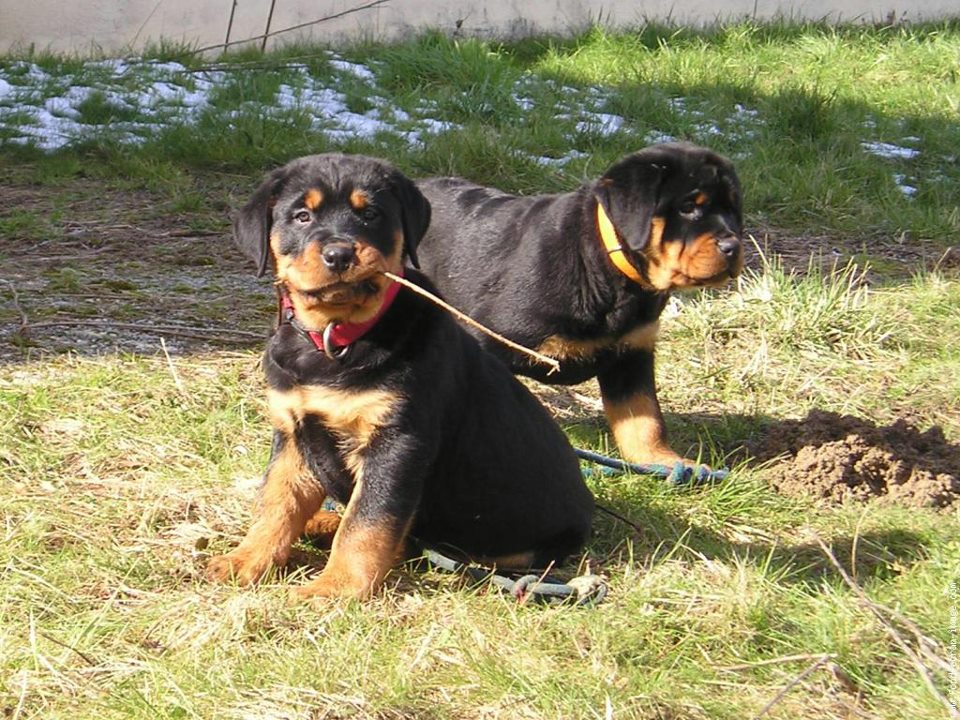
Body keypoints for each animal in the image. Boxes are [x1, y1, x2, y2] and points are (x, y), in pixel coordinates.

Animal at [210, 155, 592, 600]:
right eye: (302, 216)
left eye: (371, 214)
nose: (339, 254)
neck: (336, 337)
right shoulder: (292, 432)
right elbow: (276, 501)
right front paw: (244, 560)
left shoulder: (397, 441)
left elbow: (368, 519)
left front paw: (336, 587)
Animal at [414, 143, 744, 466]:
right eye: (689, 208)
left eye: (733, 211)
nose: (733, 246)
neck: (610, 269)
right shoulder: (491, 337)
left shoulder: (633, 352)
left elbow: (644, 418)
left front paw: (662, 460)